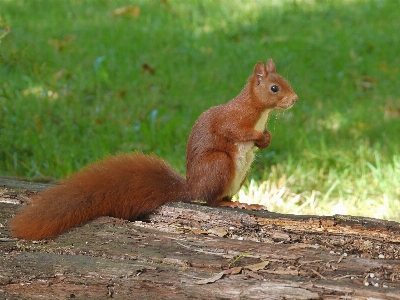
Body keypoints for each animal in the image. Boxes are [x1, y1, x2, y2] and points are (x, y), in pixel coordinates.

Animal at [9, 59, 296, 240]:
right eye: (274, 88)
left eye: (286, 81)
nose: (295, 99)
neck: (259, 112)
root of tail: (192, 187)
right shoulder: (232, 120)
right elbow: (234, 131)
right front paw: (258, 136)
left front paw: (266, 138)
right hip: (219, 163)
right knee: (212, 200)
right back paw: (231, 204)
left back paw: (245, 202)